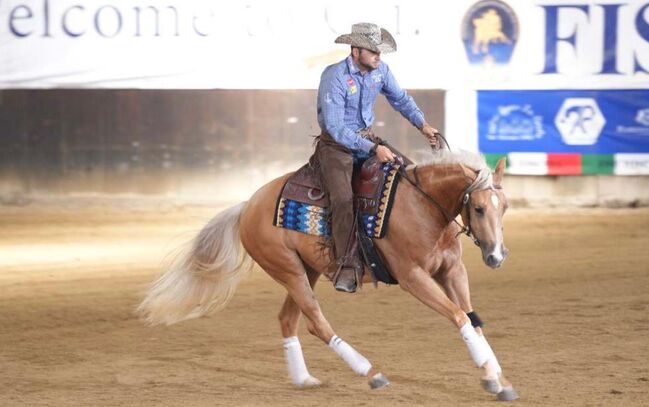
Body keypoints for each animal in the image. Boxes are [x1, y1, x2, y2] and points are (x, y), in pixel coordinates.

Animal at [139, 151, 520, 404]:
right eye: (479, 208)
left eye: (505, 208)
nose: (497, 256)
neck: (422, 207)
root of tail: (247, 206)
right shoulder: (413, 277)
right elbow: (459, 317)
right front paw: (492, 375)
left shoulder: (452, 271)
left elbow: (472, 320)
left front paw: (496, 380)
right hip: (289, 271)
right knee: (316, 323)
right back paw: (371, 373)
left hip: (304, 271)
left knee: (288, 319)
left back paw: (303, 379)